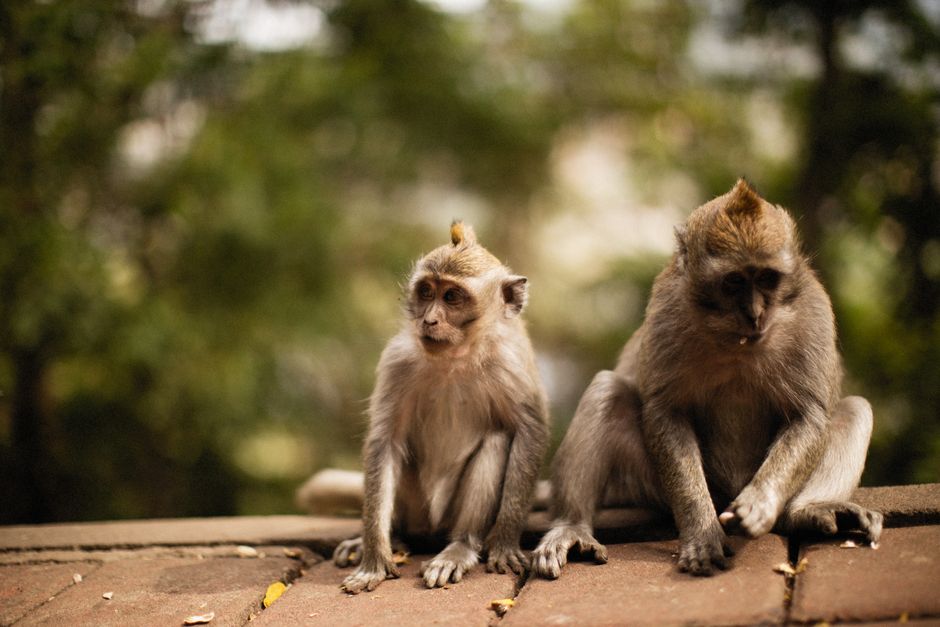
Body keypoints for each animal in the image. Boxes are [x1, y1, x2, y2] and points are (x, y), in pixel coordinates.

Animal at [334, 221, 549, 594]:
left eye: (451, 297)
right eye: (426, 292)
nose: (429, 320)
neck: (455, 358)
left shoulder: (510, 365)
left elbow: (529, 432)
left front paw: (505, 543)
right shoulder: (397, 361)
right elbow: (384, 444)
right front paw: (373, 557)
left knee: (497, 441)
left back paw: (459, 548)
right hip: (417, 513)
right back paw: (392, 538)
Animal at [532, 179, 882, 579]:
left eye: (767, 278)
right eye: (733, 282)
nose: (754, 314)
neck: (734, 340)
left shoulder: (813, 313)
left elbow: (807, 414)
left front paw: (761, 503)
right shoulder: (668, 311)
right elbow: (665, 411)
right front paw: (701, 531)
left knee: (855, 408)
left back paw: (806, 512)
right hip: (649, 483)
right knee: (608, 390)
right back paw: (571, 526)